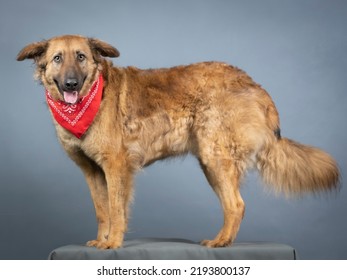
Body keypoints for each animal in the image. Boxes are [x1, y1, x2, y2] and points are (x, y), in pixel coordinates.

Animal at [17, 35, 340, 249]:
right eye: (58, 59)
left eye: (81, 57)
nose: (71, 83)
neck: (92, 97)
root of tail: (254, 84)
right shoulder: (92, 171)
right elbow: (102, 210)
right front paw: (101, 240)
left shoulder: (117, 167)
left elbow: (117, 209)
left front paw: (114, 243)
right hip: (211, 164)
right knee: (233, 205)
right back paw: (222, 239)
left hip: (215, 158)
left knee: (236, 204)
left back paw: (221, 243)